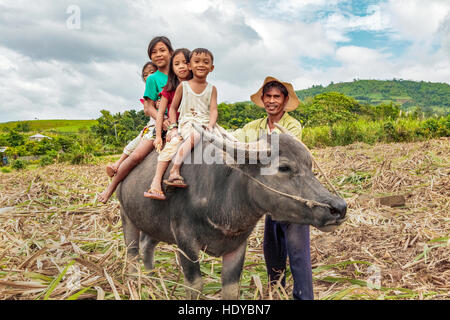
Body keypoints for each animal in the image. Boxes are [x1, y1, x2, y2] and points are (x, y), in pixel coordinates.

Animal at [117, 124, 348, 298]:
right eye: (284, 167)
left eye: (310, 166)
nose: (338, 208)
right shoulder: (185, 241)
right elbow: (195, 285)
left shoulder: (237, 246)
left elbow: (231, 288)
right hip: (126, 216)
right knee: (132, 253)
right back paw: (135, 283)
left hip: (153, 224)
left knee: (147, 246)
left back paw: (151, 278)